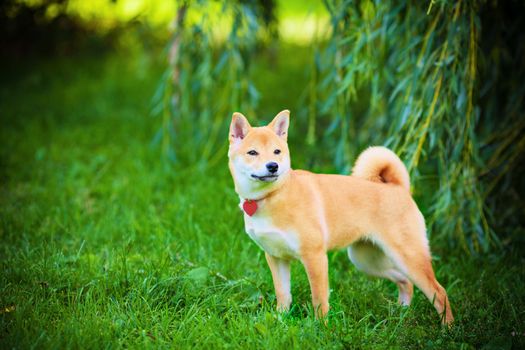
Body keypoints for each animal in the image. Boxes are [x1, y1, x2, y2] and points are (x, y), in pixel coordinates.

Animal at [227, 110, 452, 326]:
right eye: (252, 152)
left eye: (277, 151)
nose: (273, 166)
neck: (273, 195)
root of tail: (397, 187)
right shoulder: (276, 257)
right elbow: (283, 294)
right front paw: (280, 319)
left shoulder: (314, 256)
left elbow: (319, 298)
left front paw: (321, 327)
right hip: (367, 261)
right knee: (406, 282)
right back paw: (401, 314)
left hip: (408, 257)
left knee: (439, 292)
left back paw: (447, 328)